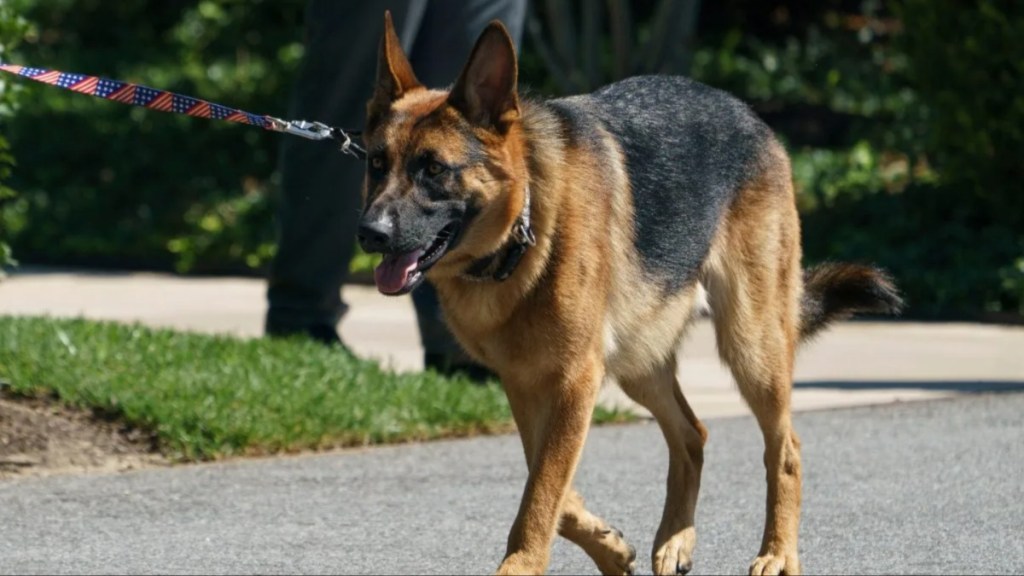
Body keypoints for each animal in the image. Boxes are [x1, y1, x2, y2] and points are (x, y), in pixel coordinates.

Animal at [356, 13, 901, 573]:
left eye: (433, 169)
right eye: (376, 163)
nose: (369, 234)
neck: (524, 231)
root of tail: (747, 112)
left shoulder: (574, 382)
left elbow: (541, 495)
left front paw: (523, 563)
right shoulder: (527, 385)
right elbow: (550, 489)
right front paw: (610, 546)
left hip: (750, 347)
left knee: (785, 447)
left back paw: (777, 552)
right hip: (640, 361)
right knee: (692, 435)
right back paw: (677, 538)